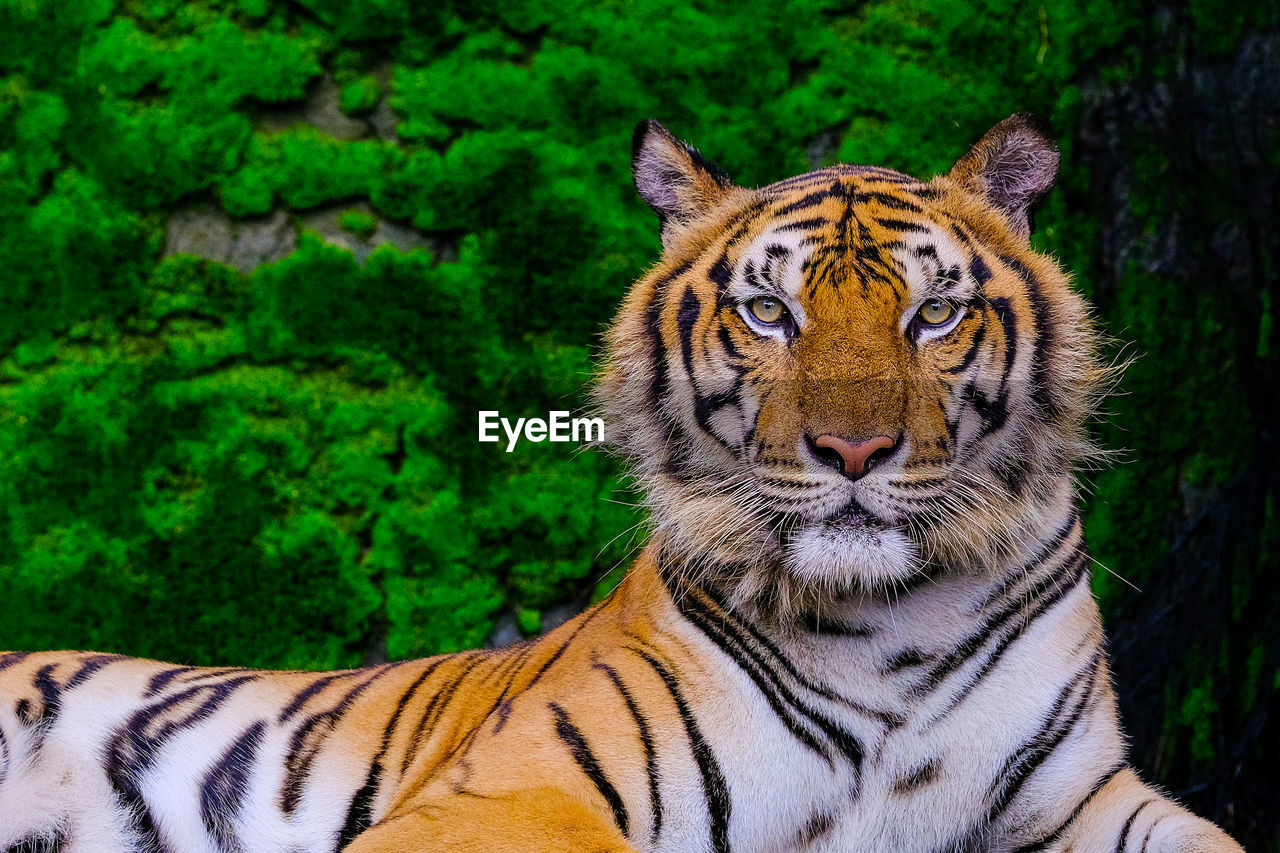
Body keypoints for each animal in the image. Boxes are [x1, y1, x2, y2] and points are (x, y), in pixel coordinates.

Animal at [0, 114, 1239, 850]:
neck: (887, 622)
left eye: (931, 313)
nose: (850, 452)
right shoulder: (524, 783)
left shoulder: (1078, 801)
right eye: (768, 311)